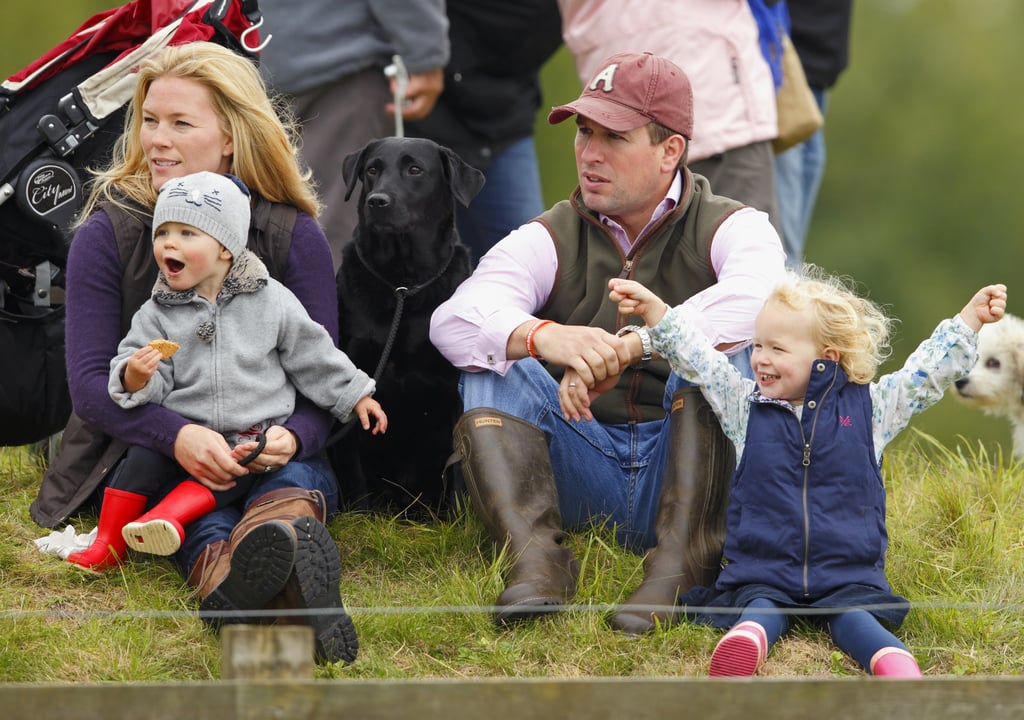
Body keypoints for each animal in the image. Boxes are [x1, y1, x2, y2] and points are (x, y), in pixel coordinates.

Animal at [329, 138, 485, 516]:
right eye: (372, 170)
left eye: (415, 170)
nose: (377, 201)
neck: (403, 282)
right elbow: (353, 467)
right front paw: (361, 517)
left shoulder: (453, 386)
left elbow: (458, 466)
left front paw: (458, 519)